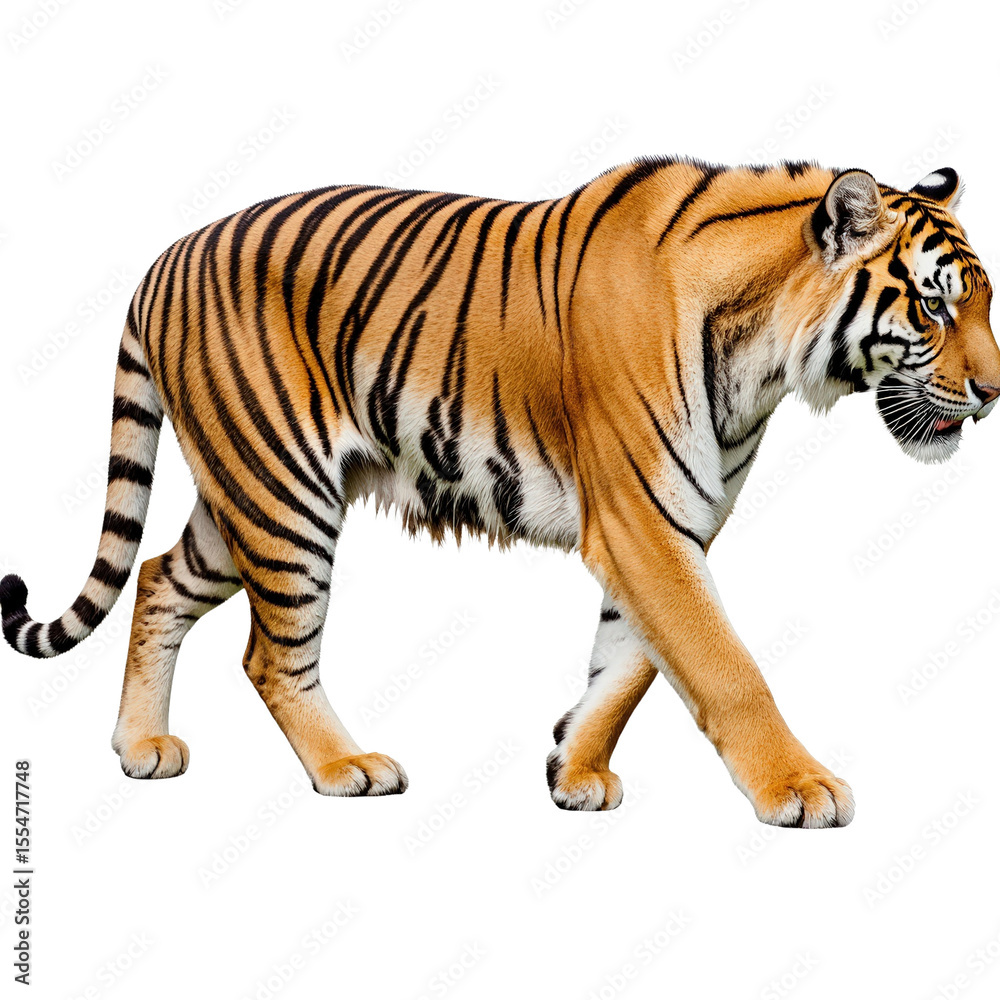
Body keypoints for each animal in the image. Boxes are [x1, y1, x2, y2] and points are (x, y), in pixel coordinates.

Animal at [1, 158, 997, 828]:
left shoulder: (675, 522)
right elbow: (722, 663)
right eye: (935, 305)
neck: (765, 349)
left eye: (979, 303)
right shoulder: (642, 522)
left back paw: (140, 748)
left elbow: (629, 663)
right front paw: (801, 788)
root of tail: (165, 256)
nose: (993, 392)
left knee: (158, 577)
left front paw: (572, 768)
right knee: (269, 655)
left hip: (241, 496)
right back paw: (347, 766)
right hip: (282, 496)